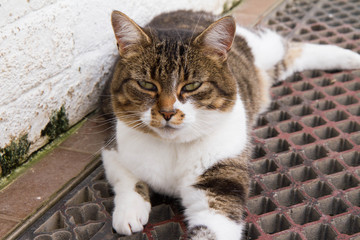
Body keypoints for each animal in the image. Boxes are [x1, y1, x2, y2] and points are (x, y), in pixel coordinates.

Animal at [100, 9, 360, 240]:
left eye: (192, 85)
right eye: (146, 84)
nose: (167, 112)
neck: (172, 147)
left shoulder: (219, 181)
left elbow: (213, 227)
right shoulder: (111, 143)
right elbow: (125, 178)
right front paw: (129, 211)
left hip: (263, 46)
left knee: (290, 44)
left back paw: (349, 57)